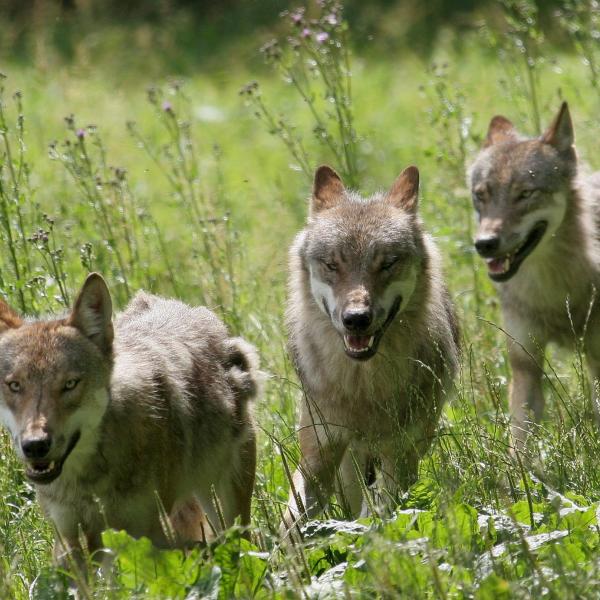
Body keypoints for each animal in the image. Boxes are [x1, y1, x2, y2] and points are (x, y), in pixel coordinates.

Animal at [282, 164, 460, 536]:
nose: (356, 319)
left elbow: (377, 514)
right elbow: (291, 523)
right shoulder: (318, 453)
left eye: (387, 264)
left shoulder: (401, 454)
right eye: (332, 265)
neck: (363, 386)